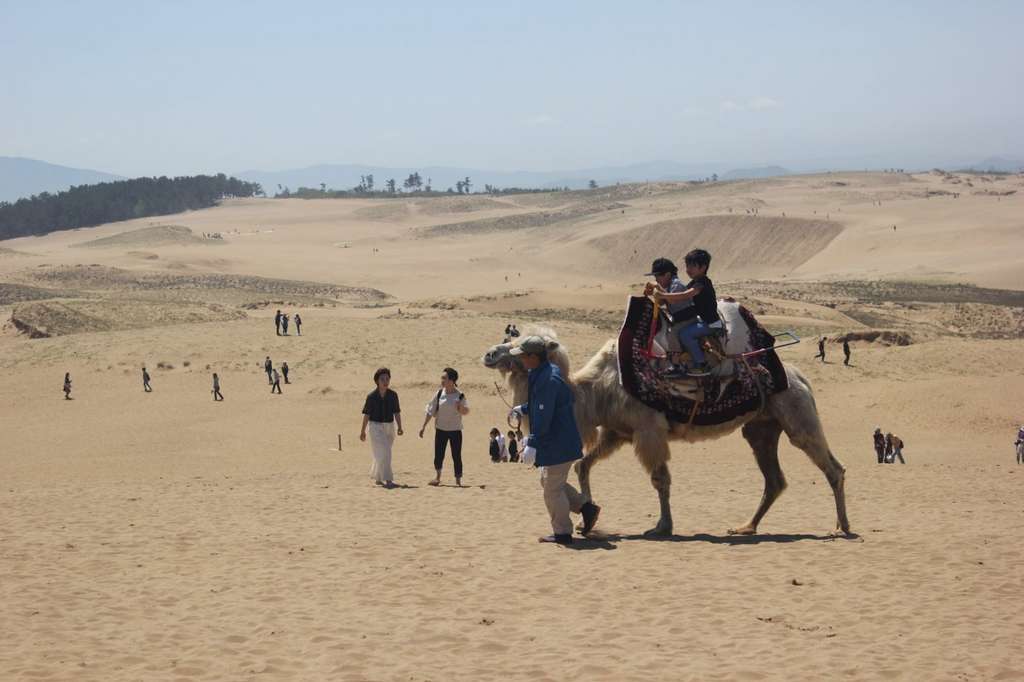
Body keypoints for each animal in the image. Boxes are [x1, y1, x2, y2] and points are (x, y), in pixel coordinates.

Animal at [483, 296, 851, 536]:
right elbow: (582, 465)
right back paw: (746, 527)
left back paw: (841, 527)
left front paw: (662, 526)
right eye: (510, 339)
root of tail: (799, 377)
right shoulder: (617, 432)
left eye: (525, 346)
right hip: (761, 427)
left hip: (797, 413)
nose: (489, 354)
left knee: (832, 467)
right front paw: (586, 518)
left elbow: (660, 479)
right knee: (774, 478)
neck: (594, 391)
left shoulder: (648, 430)